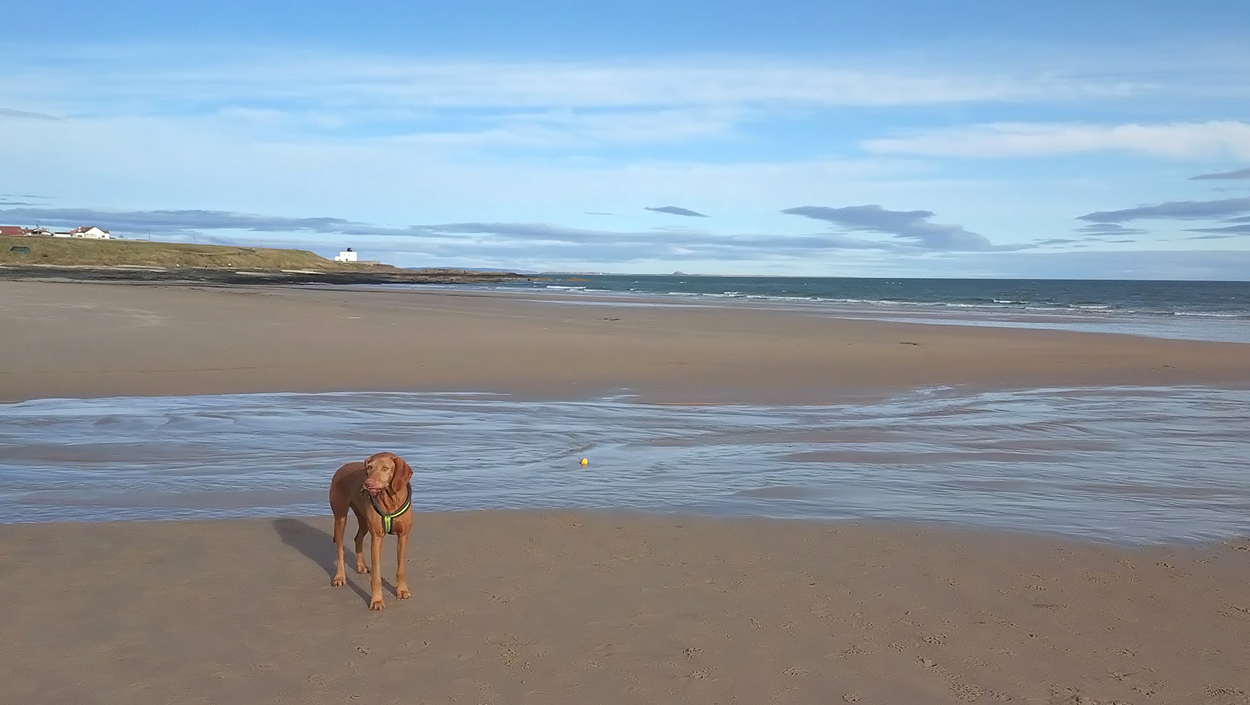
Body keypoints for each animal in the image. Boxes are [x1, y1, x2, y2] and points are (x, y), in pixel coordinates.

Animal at [328, 451, 414, 610]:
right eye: (369, 467)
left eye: (385, 468)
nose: (368, 483)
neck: (390, 500)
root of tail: (343, 466)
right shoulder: (377, 538)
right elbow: (376, 576)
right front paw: (377, 600)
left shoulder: (403, 536)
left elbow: (400, 569)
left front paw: (402, 590)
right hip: (340, 517)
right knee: (340, 549)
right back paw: (340, 576)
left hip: (363, 519)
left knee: (358, 538)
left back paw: (361, 565)